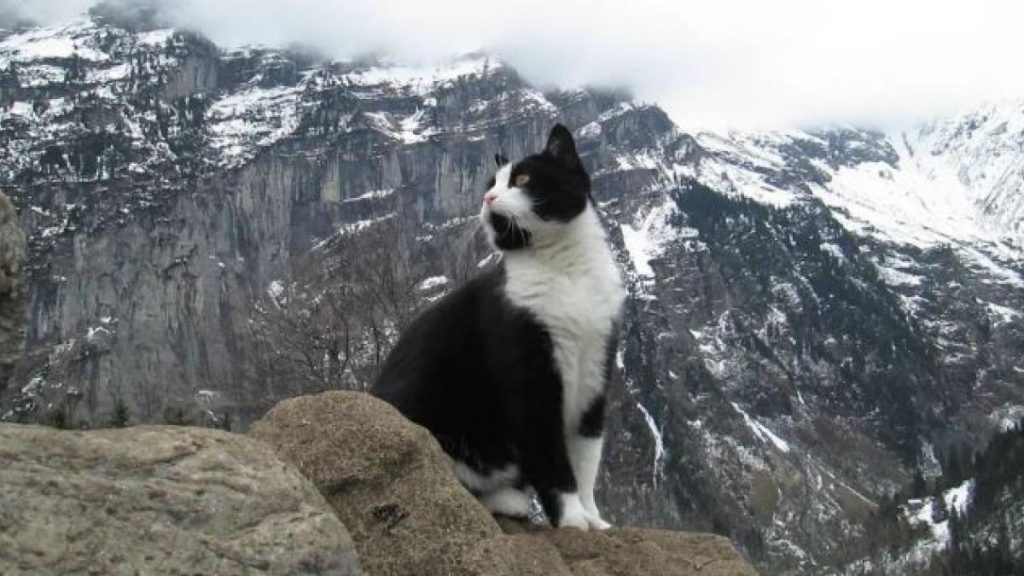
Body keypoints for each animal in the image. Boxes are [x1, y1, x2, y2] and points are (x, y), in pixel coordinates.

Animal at [368, 125, 622, 528]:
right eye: (491, 182)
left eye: (522, 179)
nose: (487, 197)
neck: (565, 271)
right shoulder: (528, 371)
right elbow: (551, 457)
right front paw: (571, 519)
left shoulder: (596, 369)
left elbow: (586, 459)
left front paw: (593, 519)